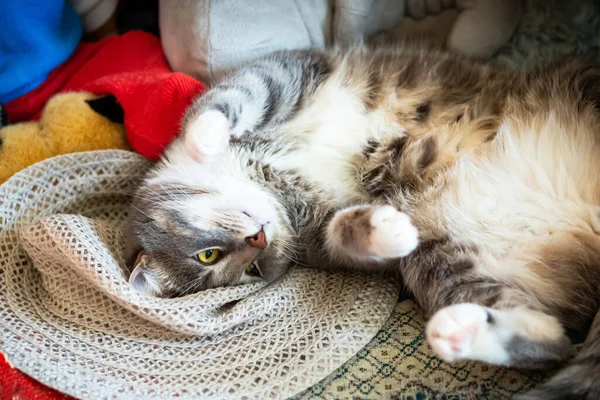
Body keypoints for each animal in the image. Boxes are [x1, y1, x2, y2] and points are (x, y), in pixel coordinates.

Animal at [126, 45, 600, 398]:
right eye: (249, 271)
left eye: (207, 255)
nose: (258, 239)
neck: (267, 177)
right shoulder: (319, 232)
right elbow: (342, 233)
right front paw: (388, 230)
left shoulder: (298, 71)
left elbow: (236, 93)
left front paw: (204, 136)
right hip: (441, 260)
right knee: (553, 344)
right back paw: (460, 332)